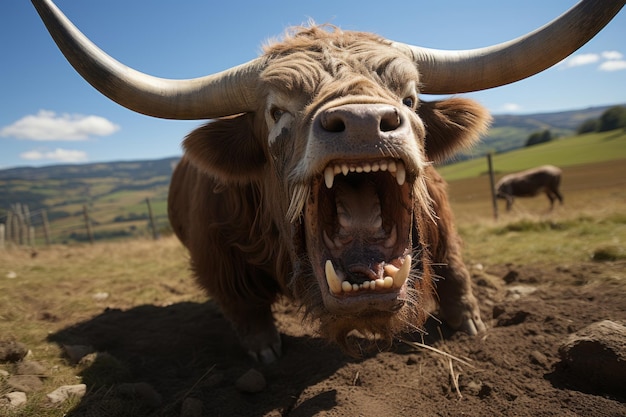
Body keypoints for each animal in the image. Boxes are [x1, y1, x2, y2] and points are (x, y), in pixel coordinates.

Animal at [30, 0, 624, 360]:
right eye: (276, 111)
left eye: (410, 98)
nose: (363, 120)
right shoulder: (216, 256)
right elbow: (242, 306)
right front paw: (264, 350)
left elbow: (454, 265)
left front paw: (470, 324)